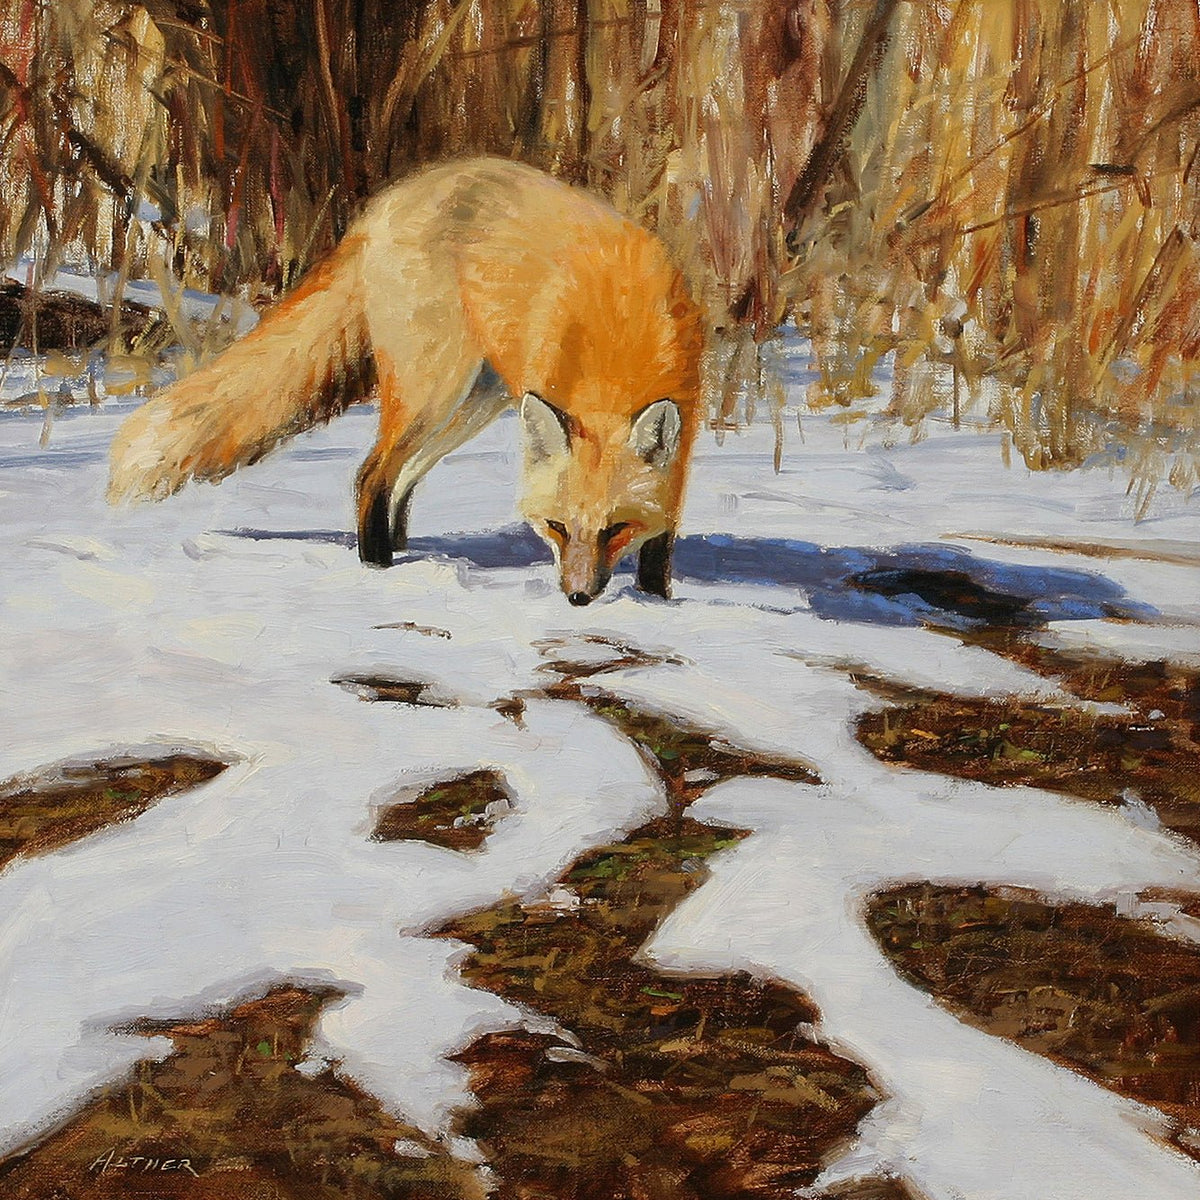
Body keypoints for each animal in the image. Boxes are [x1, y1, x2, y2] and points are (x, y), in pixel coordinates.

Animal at [107, 158, 704, 604]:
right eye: (557, 526)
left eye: (615, 529)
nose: (577, 598)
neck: (617, 348)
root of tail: (381, 208)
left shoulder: (685, 432)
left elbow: (664, 533)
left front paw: (655, 599)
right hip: (434, 392)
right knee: (372, 474)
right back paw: (378, 569)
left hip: (472, 403)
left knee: (402, 478)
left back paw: (403, 551)